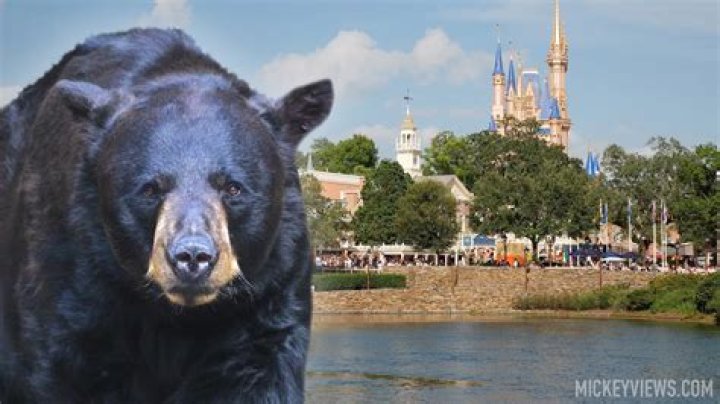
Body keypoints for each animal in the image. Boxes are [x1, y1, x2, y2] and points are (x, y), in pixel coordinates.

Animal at [0, 28, 332, 403]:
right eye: (150, 189)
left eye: (233, 188)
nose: (193, 257)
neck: (173, 314)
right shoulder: (67, 263)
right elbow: (57, 365)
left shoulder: (271, 289)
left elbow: (259, 373)